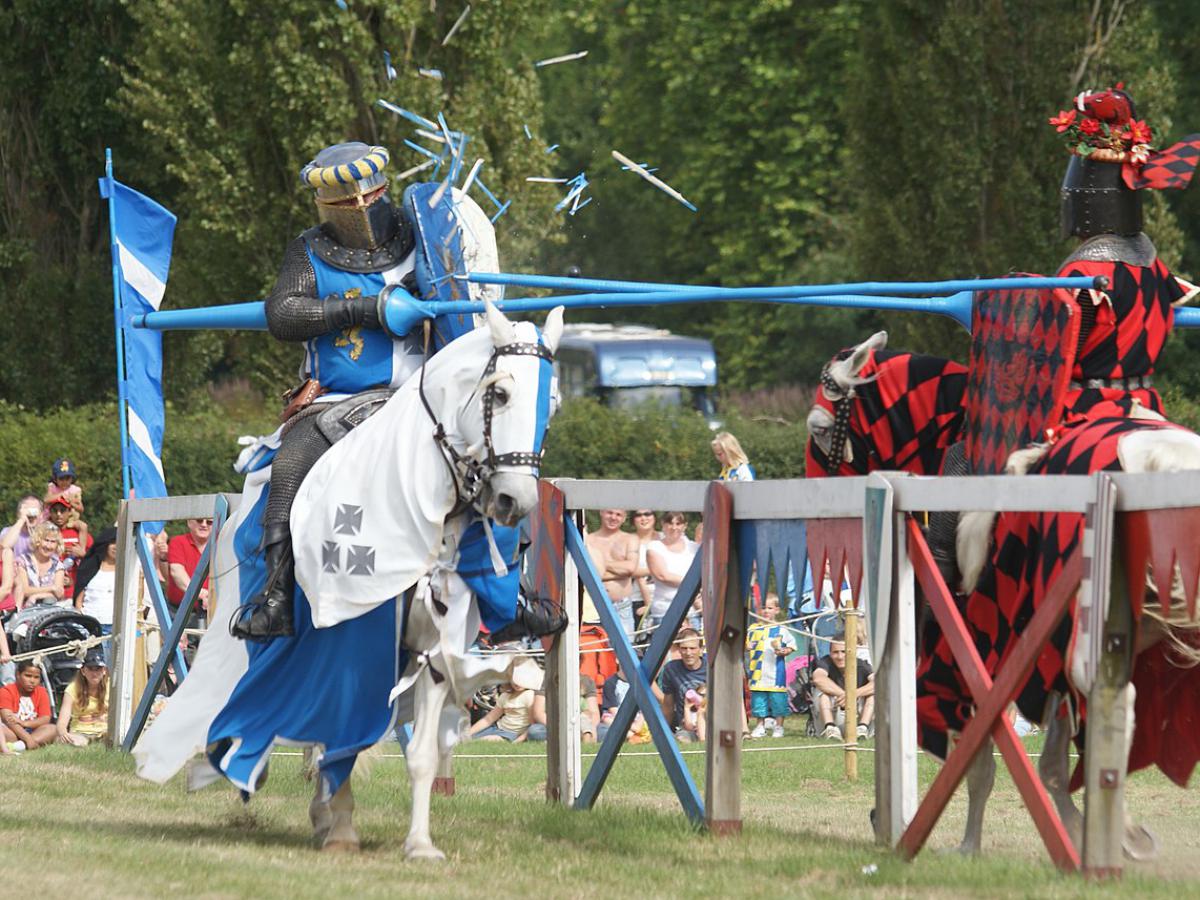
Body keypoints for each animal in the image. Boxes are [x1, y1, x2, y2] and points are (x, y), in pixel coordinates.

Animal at [133, 304, 564, 868]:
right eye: (501, 393)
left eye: (549, 406)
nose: (515, 501)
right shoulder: (346, 644)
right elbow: (335, 728)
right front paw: (339, 825)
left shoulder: (434, 649)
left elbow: (419, 754)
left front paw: (419, 844)